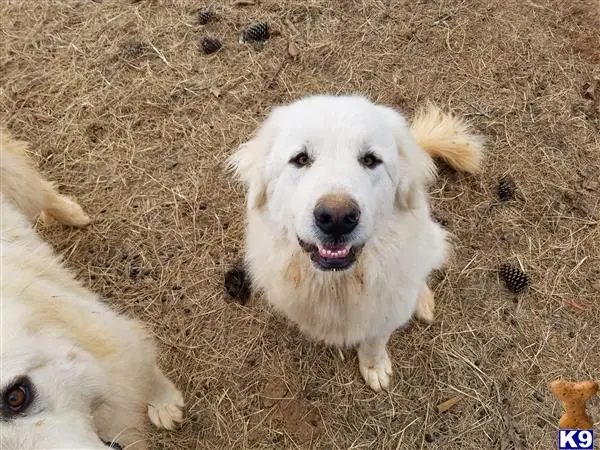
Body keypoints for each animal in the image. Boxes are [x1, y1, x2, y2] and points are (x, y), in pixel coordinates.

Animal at [0, 129, 184, 446]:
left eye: (15, 397)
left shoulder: (120, 343)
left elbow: (149, 377)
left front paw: (165, 403)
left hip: (15, 178)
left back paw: (71, 213)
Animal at [229, 95, 482, 390]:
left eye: (370, 160)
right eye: (301, 159)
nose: (337, 218)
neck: (339, 283)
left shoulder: (384, 316)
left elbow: (375, 342)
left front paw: (374, 366)